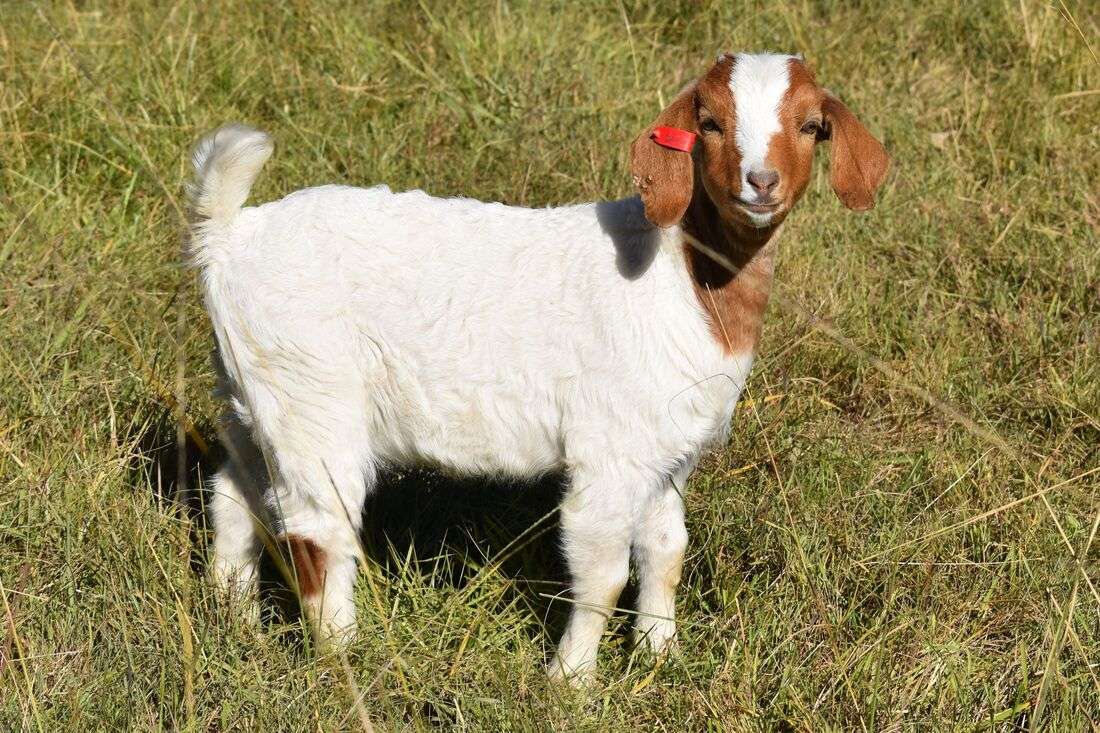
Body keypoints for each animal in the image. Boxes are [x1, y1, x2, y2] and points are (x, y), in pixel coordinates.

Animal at [188, 51, 889, 684]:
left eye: (811, 125)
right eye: (711, 123)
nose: (760, 181)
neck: (687, 277)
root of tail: (228, 239)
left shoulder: (669, 451)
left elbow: (666, 550)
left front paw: (661, 655)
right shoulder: (611, 450)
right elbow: (603, 573)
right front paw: (571, 682)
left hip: (254, 390)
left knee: (234, 490)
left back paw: (235, 617)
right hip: (314, 397)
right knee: (316, 529)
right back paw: (345, 655)